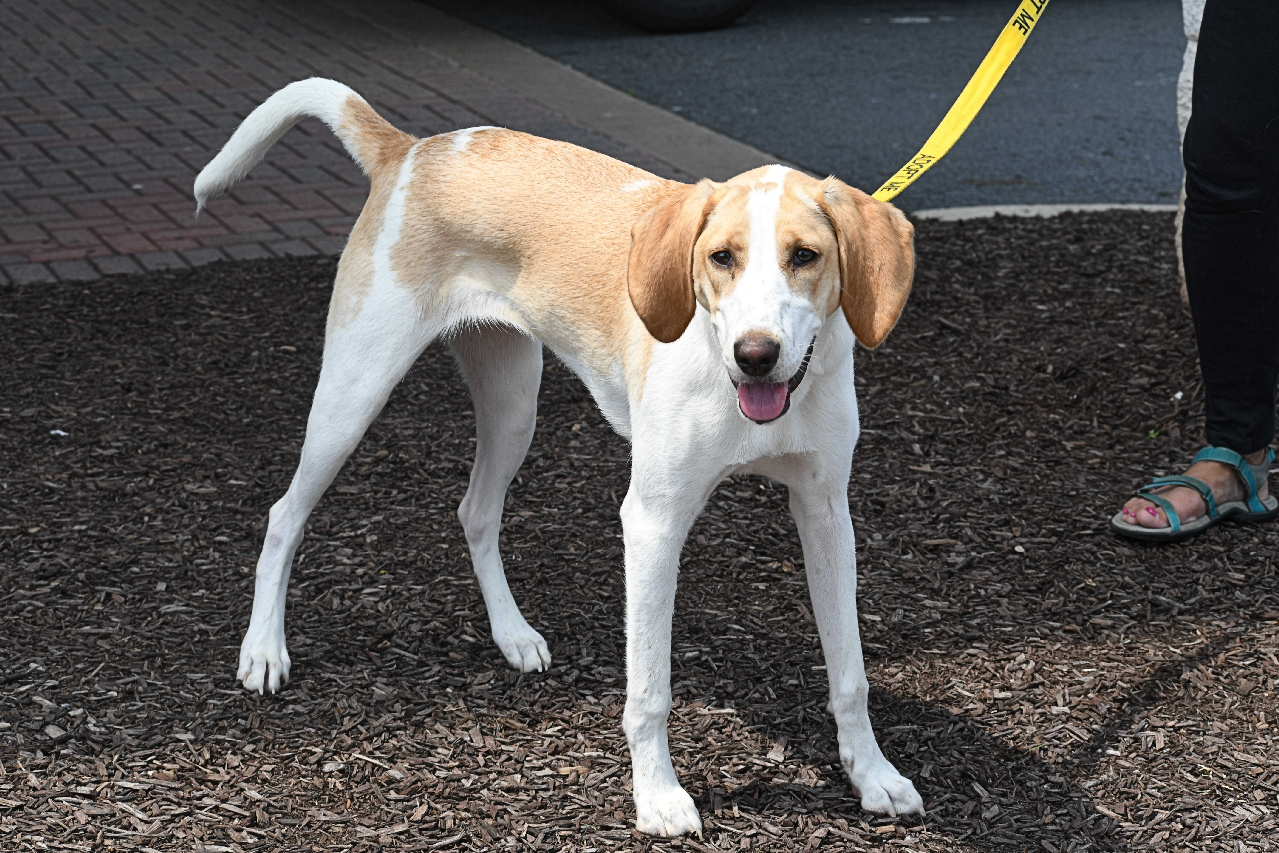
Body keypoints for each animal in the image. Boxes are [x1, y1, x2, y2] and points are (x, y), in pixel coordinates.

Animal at [191, 78, 920, 833]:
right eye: (721, 257)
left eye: (805, 255)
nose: (756, 354)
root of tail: (412, 150)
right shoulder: (652, 522)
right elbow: (650, 688)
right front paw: (658, 796)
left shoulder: (826, 512)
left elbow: (850, 672)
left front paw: (872, 775)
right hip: (352, 394)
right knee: (284, 513)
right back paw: (263, 650)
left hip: (514, 405)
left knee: (475, 511)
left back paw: (512, 634)